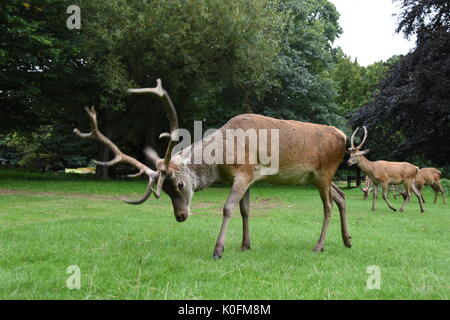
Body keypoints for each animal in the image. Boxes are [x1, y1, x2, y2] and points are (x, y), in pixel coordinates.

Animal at [75, 79, 354, 258]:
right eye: (164, 191)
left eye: (180, 184)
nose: (180, 216)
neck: (222, 159)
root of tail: (343, 136)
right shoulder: (250, 177)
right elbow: (245, 210)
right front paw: (245, 245)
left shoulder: (243, 172)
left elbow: (228, 208)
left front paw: (218, 250)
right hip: (319, 177)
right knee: (341, 195)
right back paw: (347, 240)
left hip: (325, 172)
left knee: (328, 206)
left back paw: (319, 246)